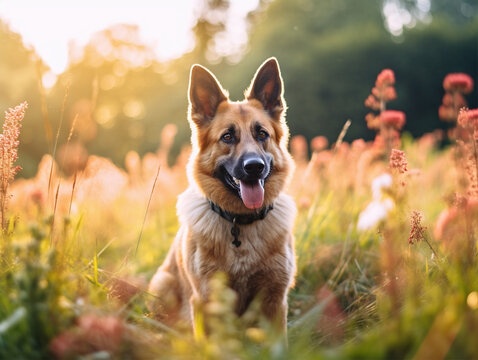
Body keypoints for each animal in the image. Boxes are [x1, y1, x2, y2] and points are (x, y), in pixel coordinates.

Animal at [148, 57, 296, 334]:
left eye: (262, 134)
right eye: (227, 137)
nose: (254, 167)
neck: (241, 223)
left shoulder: (274, 300)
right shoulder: (206, 301)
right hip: (162, 284)